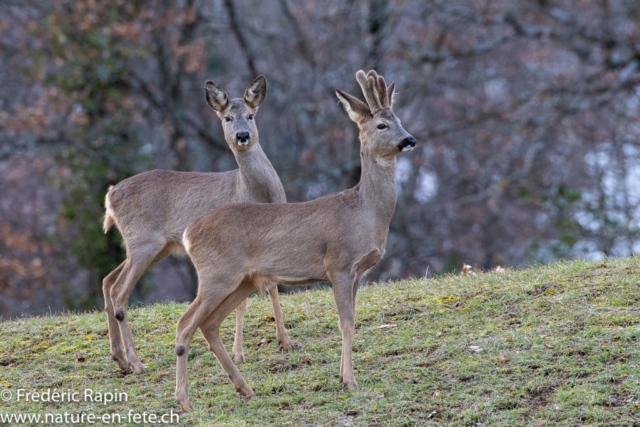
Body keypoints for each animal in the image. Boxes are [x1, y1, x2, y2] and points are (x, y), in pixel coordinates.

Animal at [103, 77, 298, 374]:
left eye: (250, 115)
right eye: (227, 118)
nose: (242, 136)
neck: (255, 192)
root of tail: (110, 195)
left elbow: (270, 289)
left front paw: (284, 342)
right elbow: (246, 301)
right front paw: (241, 352)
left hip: (154, 247)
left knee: (107, 280)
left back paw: (120, 360)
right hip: (144, 242)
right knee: (119, 292)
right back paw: (136, 363)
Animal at [175, 70, 416, 412]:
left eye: (399, 120)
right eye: (382, 125)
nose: (409, 140)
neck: (364, 211)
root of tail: (188, 233)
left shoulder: (358, 273)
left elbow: (351, 321)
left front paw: (342, 376)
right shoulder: (338, 264)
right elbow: (346, 323)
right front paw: (351, 382)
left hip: (242, 281)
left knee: (209, 325)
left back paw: (245, 389)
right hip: (217, 275)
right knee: (185, 323)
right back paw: (184, 400)